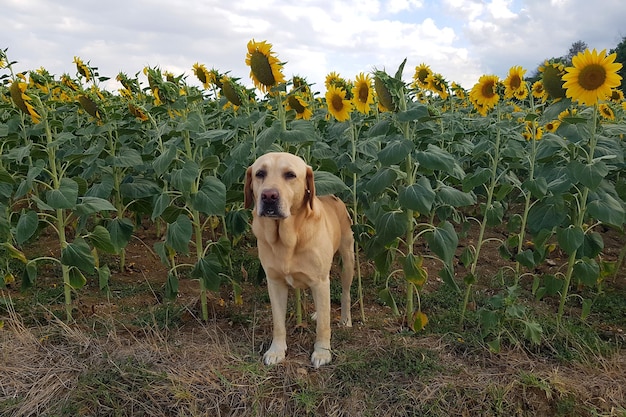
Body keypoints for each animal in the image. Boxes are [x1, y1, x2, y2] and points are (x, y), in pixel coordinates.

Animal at [243, 151, 354, 366]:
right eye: (260, 173)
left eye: (290, 175)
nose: (269, 196)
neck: (287, 238)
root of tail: (333, 196)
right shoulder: (274, 282)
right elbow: (278, 323)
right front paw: (276, 351)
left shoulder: (320, 281)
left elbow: (323, 327)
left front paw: (322, 352)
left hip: (347, 262)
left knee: (345, 294)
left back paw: (346, 320)